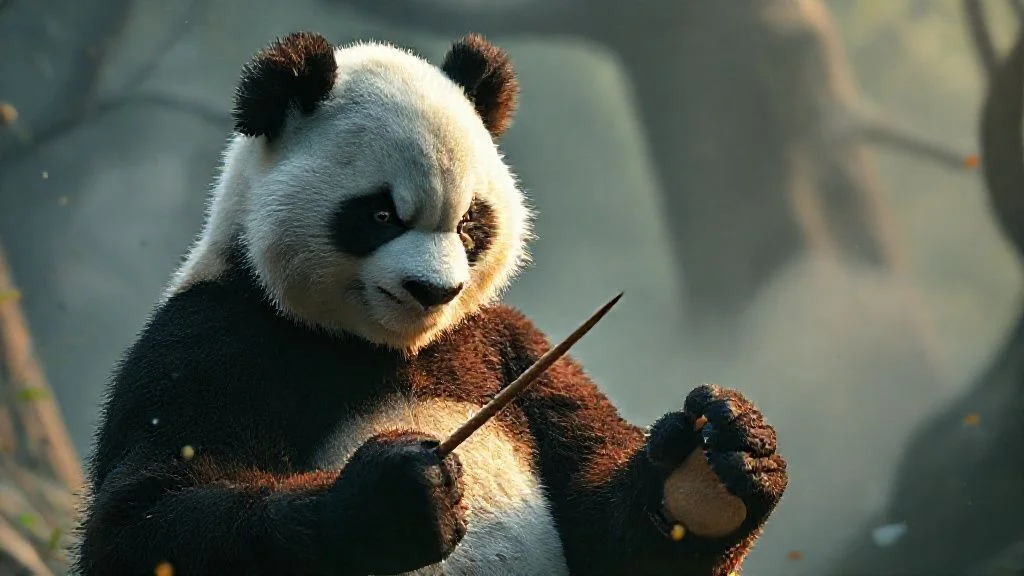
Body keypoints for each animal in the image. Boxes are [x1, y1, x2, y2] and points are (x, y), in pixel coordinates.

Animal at [74, 32, 787, 576]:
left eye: (471, 223)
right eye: (381, 215)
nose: (435, 291)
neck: (390, 345)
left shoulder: (510, 343)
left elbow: (608, 536)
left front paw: (721, 459)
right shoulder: (215, 335)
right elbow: (142, 518)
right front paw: (393, 502)